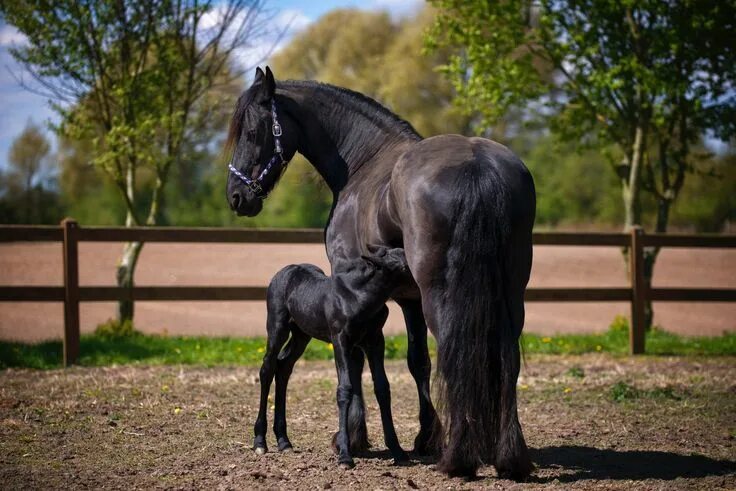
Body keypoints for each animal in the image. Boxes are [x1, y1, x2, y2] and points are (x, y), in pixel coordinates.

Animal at [254, 246, 412, 466]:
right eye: (404, 266)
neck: (359, 297)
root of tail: (284, 271)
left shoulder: (375, 341)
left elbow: (382, 388)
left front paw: (397, 450)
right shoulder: (340, 341)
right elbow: (344, 389)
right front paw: (345, 455)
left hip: (302, 334)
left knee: (284, 367)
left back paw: (284, 441)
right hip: (277, 327)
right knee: (267, 369)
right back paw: (260, 441)